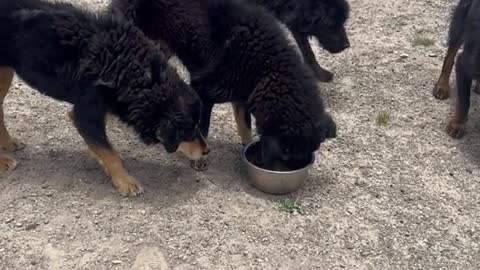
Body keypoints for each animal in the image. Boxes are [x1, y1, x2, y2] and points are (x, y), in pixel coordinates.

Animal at [0, 0, 207, 195]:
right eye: (189, 130)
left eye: (198, 125)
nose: (207, 150)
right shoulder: (86, 114)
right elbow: (109, 153)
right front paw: (125, 181)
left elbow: (102, 144)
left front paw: (98, 157)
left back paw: (8, 143)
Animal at [112, 0, 338, 169]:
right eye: (287, 153)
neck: (265, 67)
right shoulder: (204, 92)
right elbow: (202, 130)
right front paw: (201, 158)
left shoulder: (242, 97)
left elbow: (245, 127)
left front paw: (246, 148)